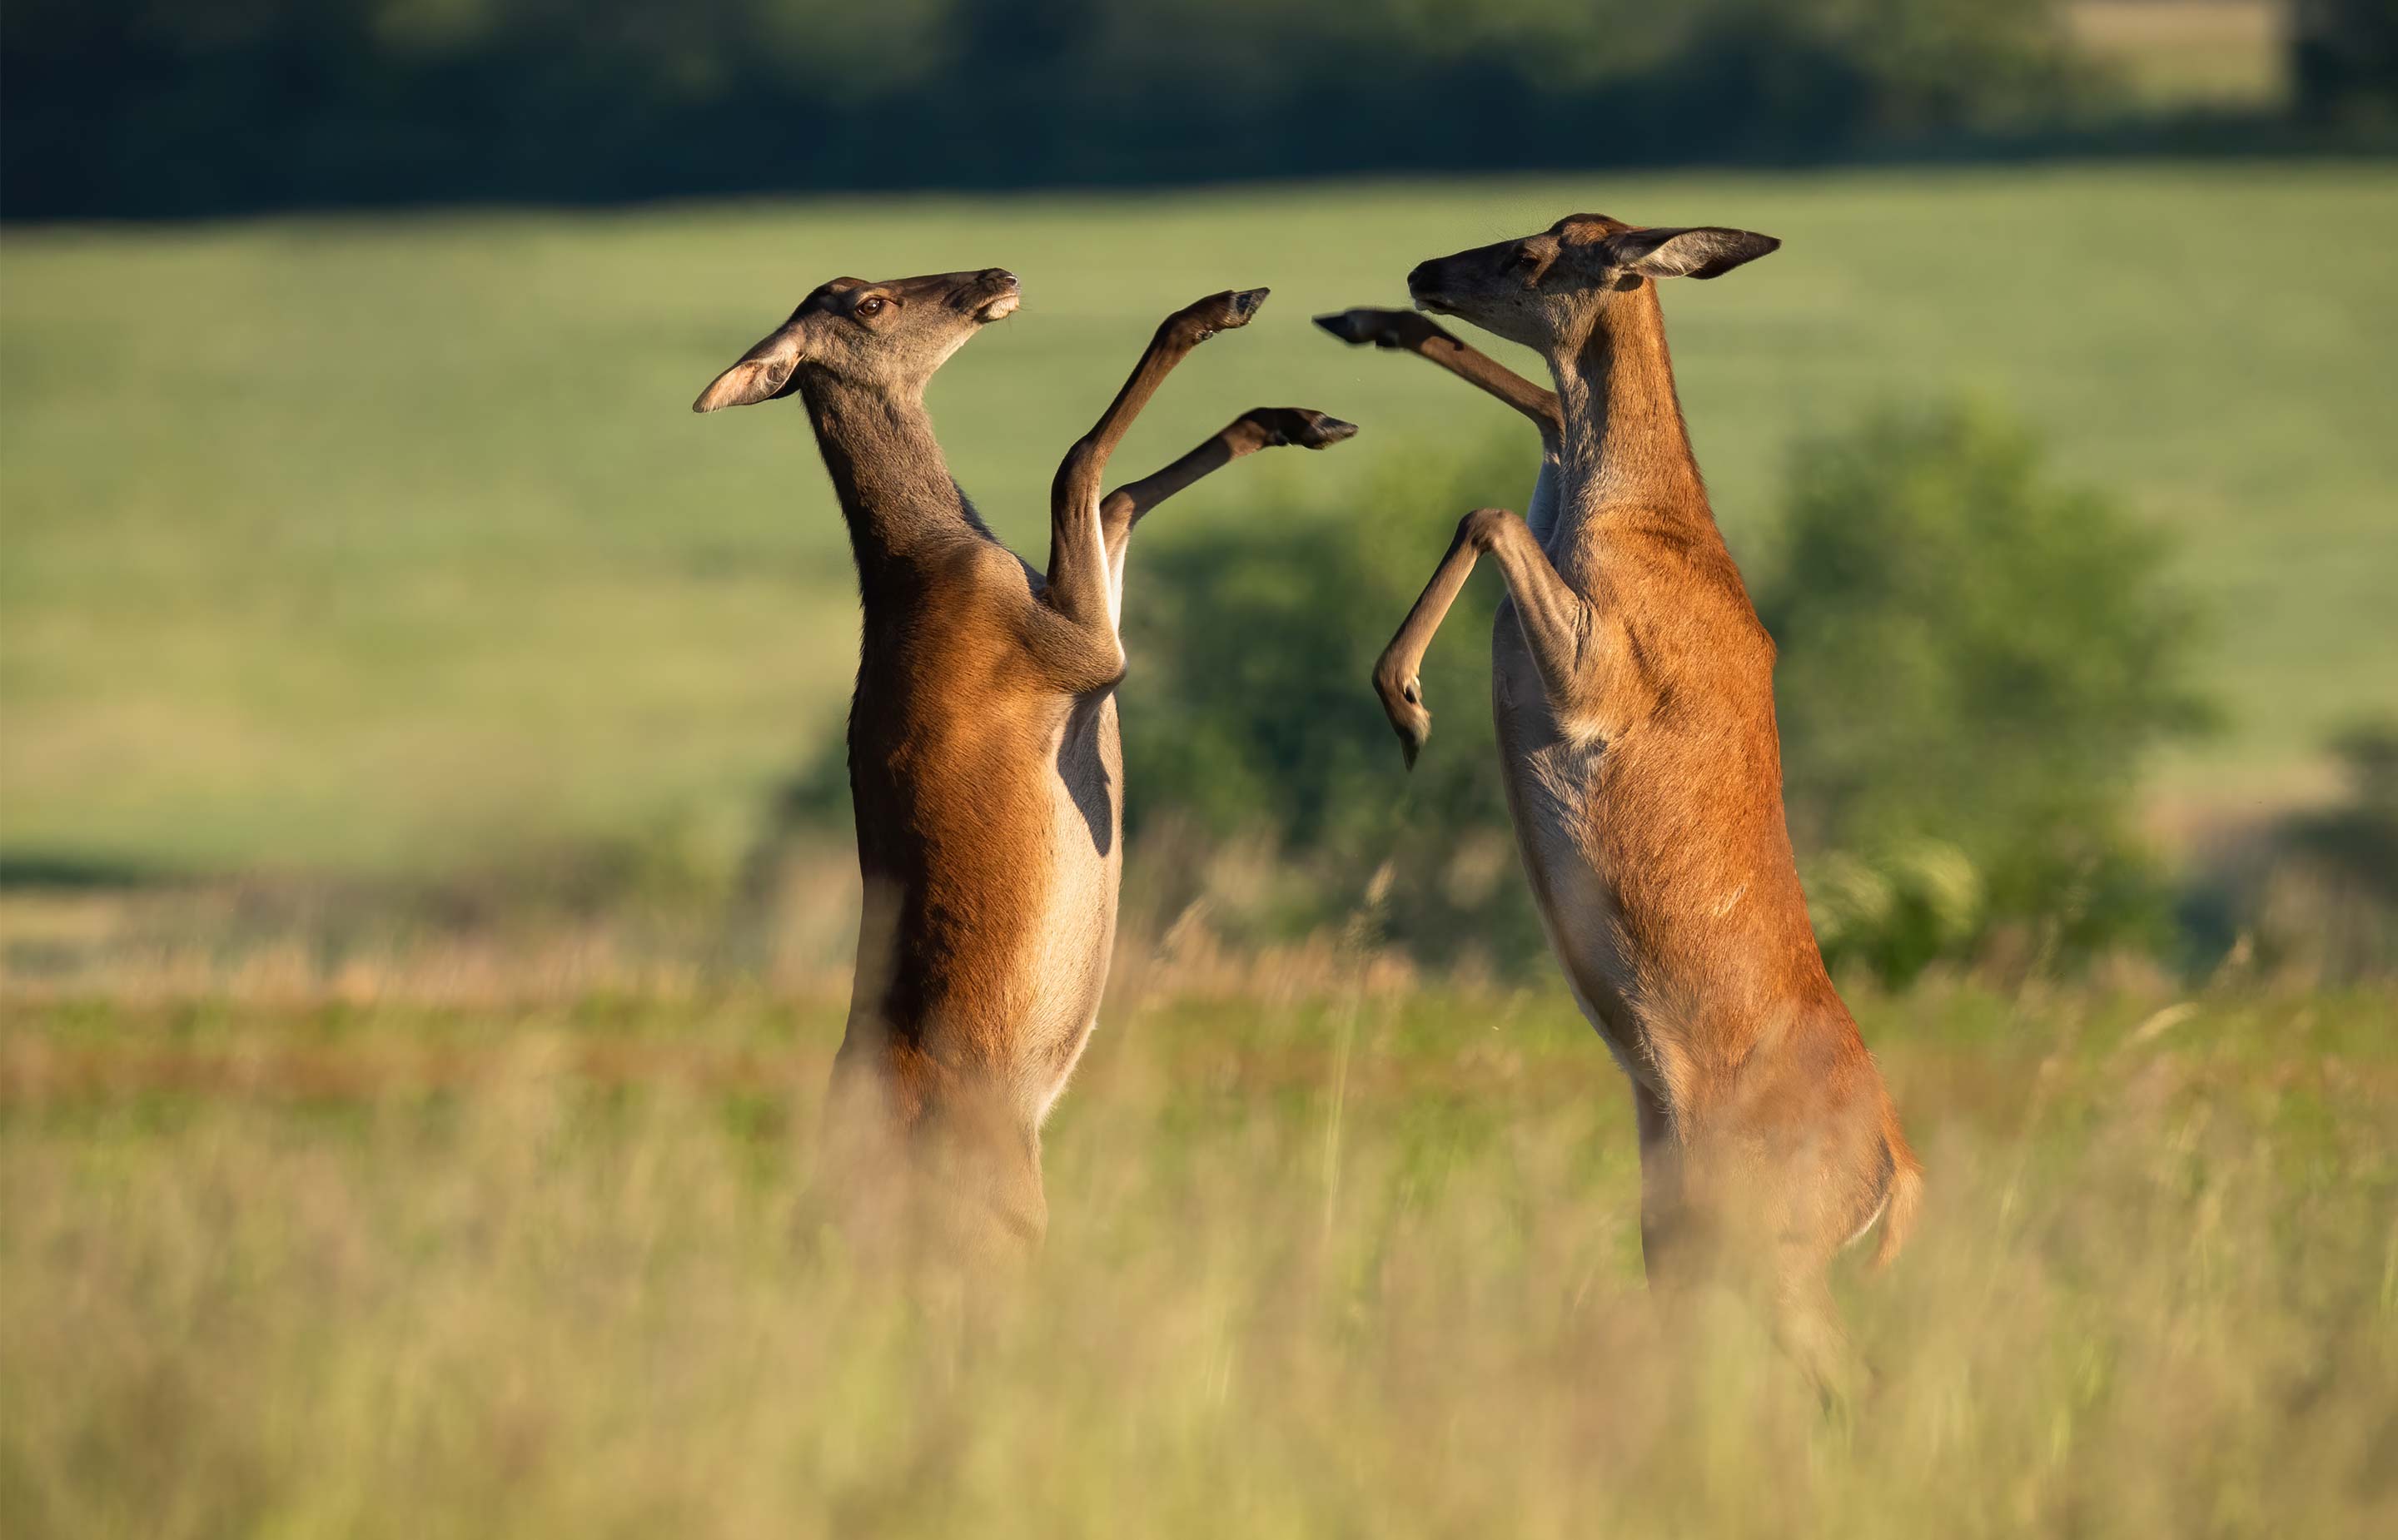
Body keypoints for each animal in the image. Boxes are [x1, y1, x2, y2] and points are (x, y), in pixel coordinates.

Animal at [699, 270, 1361, 1266]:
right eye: (870, 304)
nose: (993, 277)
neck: (938, 562)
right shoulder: (1079, 654)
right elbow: (1079, 465)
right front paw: (1219, 312)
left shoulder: (1076, 624)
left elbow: (1115, 497)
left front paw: (1296, 418)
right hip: (1001, 1212)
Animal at [1323, 218, 1918, 1391]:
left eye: (1539, 253)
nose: (1425, 271)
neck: (1635, 516)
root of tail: (1897, 1169)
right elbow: (1543, 419)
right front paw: (1366, 323)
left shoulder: (1603, 669)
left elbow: (1487, 508)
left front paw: (1404, 699)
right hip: (1676, 1234)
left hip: (1771, 1239)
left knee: (1851, 1378)